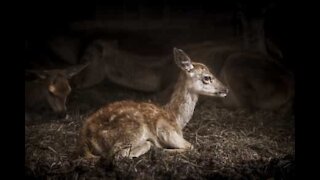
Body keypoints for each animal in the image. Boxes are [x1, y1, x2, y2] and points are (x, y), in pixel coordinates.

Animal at [79, 47, 229, 160]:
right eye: (207, 78)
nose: (225, 89)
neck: (176, 118)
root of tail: (86, 137)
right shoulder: (166, 130)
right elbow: (191, 146)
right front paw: (163, 150)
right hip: (133, 131)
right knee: (118, 153)